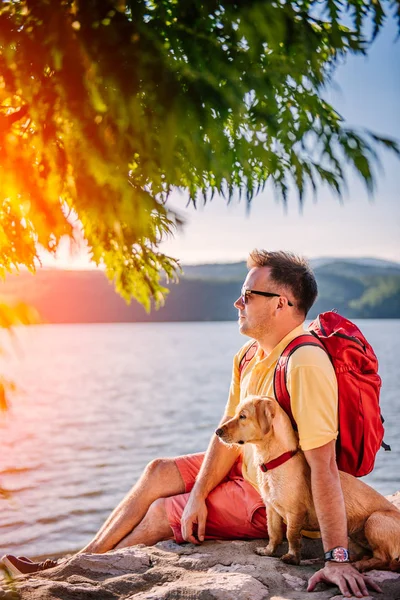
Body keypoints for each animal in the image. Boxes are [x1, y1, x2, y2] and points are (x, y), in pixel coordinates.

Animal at [216, 394, 400, 572]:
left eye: (243, 416)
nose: (217, 431)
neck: (276, 461)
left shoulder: (295, 513)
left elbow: (291, 535)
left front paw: (292, 557)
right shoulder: (271, 509)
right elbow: (273, 532)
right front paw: (268, 551)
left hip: (375, 520)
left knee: (384, 559)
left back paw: (360, 565)